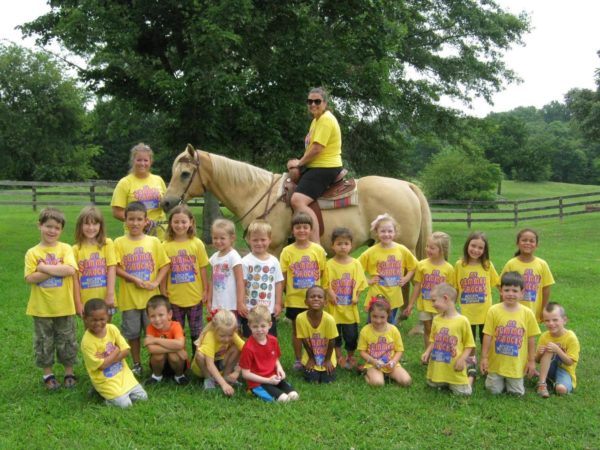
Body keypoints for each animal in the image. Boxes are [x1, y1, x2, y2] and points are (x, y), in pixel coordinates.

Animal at [161, 144, 432, 256]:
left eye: (184, 173)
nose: (166, 202)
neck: (257, 193)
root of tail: (407, 185)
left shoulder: (274, 245)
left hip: (403, 245)